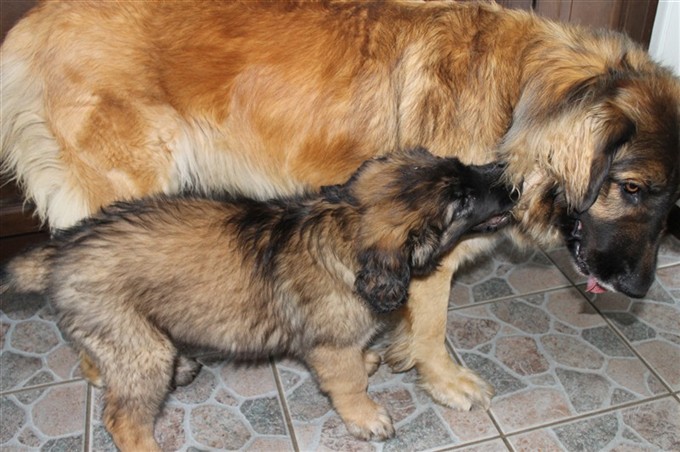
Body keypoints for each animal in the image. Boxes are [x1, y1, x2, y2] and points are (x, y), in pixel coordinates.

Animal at [1, 0, 680, 410]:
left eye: (669, 199)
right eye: (632, 188)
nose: (641, 290)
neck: (522, 95)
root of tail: (31, 24)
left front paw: (399, 354)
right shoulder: (431, 241)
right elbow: (433, 324)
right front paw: (444, 380)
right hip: (126, 194)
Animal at [2, 147, 516, 448]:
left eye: (462, 165)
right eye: (461, 203)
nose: (511, 179)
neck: (344, 235)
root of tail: (60, 249)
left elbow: (358, 360)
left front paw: (369, 360)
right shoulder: (330, 346)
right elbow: (348, 382)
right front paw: (366, 416)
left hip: (120, 332)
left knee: (94, 358)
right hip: (137, 345)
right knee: (123, 419)